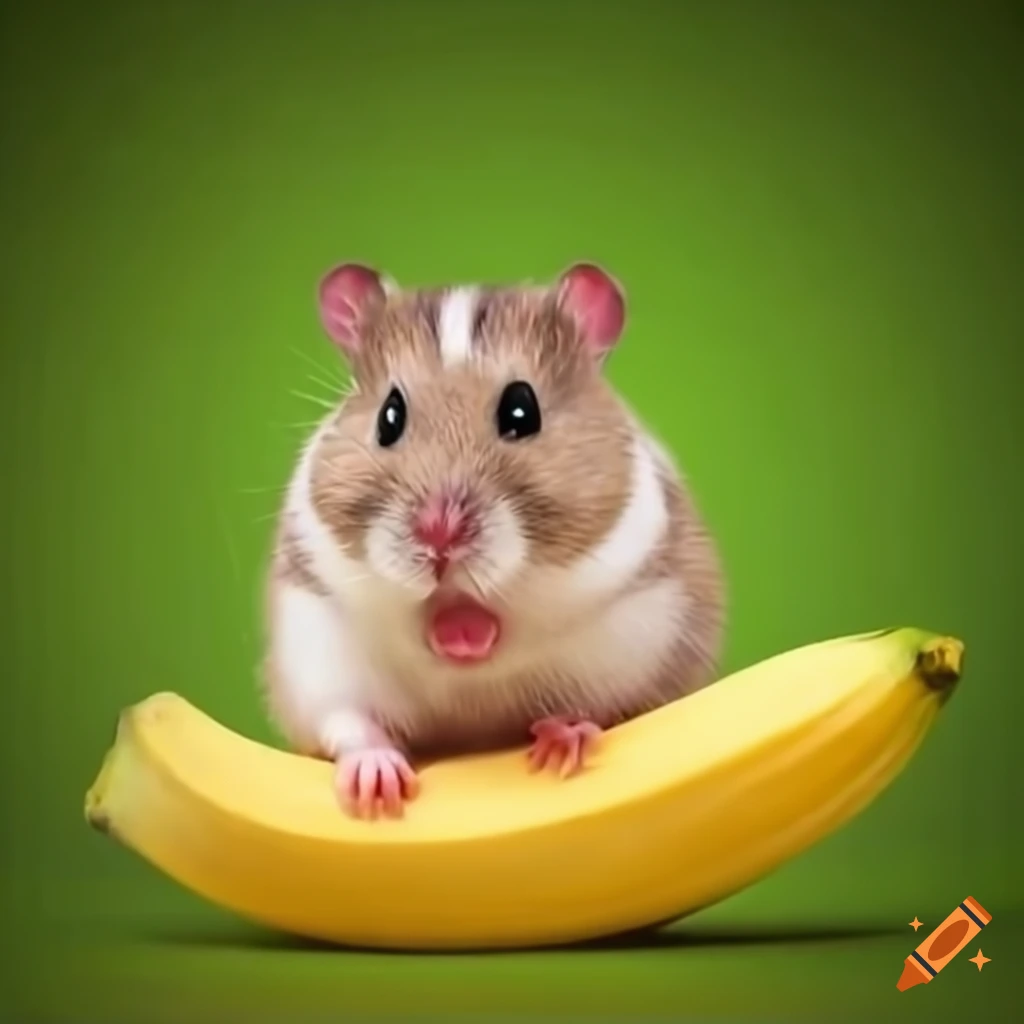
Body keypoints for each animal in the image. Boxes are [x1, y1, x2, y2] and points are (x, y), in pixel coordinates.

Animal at [262, 261, 726, 819]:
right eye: (388, 417)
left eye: (522, 411)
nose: (438, 535)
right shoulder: (316, 632)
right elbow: (353, 712)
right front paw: (376, 792)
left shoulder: (630, 600)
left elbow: (534, 642)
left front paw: (558, 740)